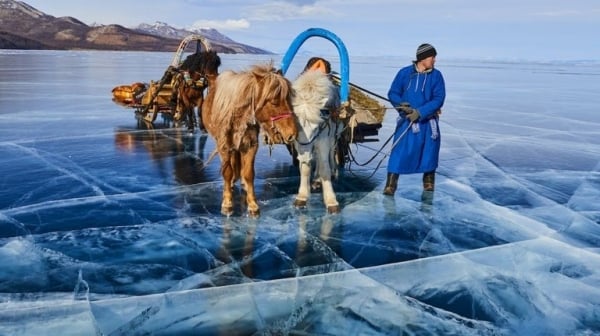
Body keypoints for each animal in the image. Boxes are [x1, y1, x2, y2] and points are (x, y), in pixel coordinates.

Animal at [202, 61, 298, 217]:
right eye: (274, 101)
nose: (292, 133)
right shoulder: (224, 146)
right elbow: (227, 172)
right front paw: (227, 203)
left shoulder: (250, 145)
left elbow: (248, 173)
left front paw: (252, 204)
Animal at [292, 69, 344, 214]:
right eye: (296, 126)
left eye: (316, 126)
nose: (304, 156)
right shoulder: (300, 145)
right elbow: (305, 168)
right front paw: (302, 197)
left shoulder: (324, 140)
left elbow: (325, 169)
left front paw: (331, 201)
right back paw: (315, 179)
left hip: (333, 138)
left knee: (330, 155)